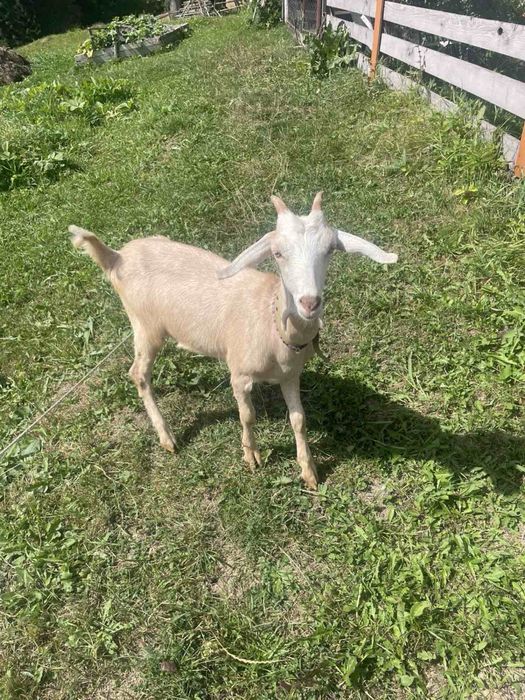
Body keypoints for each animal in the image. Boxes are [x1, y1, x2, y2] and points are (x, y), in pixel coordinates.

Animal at [70, 193, 397, 489]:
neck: (271, 321)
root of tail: (117, 257)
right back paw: (167, 437)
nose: (309, 303)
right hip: (145, 326)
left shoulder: (291, 375)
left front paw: (309, 472)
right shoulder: (239, 374)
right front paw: (251, 456)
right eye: (277, 254)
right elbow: (248, 415)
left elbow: (299, 419)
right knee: (138, 373)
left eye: (330, 250)